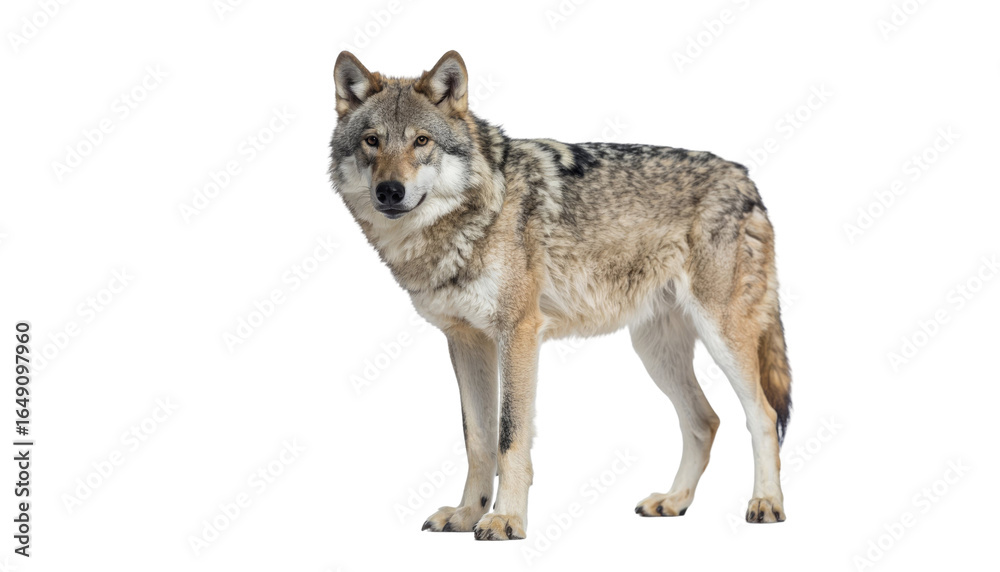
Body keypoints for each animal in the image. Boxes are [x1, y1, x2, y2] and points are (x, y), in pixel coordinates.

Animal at [329, 50, 792, 540]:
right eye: (372, 141)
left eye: (421, 141)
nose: (389, 191)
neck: (477, 212)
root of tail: (745, 178)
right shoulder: (465, 341)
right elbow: (477, 440)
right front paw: (466, 514)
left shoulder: (518, 333)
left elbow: (510, 437)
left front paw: (506, 520)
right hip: (654, 350)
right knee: (705, 421)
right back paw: (673, 501)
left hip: (722, 336)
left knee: (762, 415)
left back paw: (766, 503)